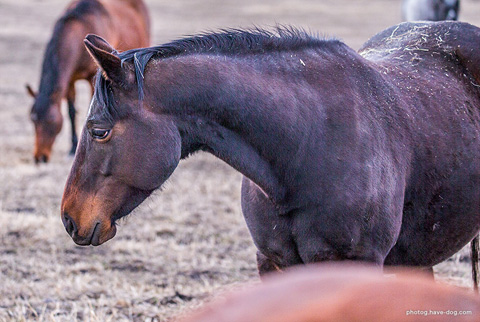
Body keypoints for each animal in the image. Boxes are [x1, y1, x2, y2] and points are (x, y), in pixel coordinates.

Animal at [25, 0, 150, 162]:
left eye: (51, 121)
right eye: (33, 120)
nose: (40, 157)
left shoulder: (93, 77)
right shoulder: (70, 80)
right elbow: (71, 112)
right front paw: (73, 148)